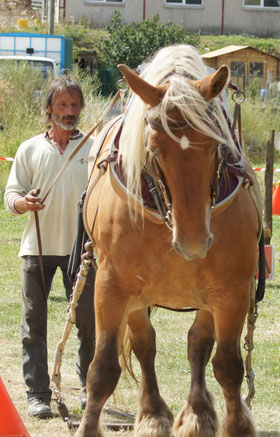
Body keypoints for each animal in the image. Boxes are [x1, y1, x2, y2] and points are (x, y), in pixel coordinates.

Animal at [75, 45, 262, 436]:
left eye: (216, 146)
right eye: (154, 148)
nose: (194, 240)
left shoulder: (233, 291)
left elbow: (228, 367)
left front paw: (233, 424)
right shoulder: (111, 287)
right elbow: (102, 370)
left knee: (199, 344)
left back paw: (197, 413)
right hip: (134, 295)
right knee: (144, 345)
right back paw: (153, 413)